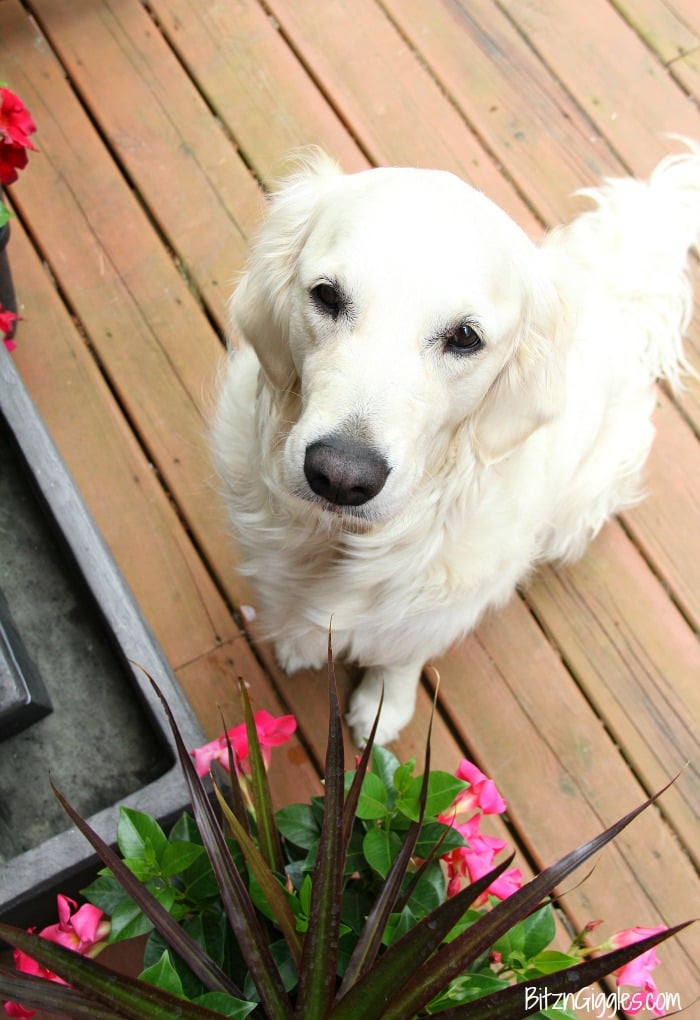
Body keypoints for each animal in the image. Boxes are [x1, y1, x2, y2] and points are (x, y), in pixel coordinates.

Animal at [212, 147, 697, 746]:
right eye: (326, 295)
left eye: (465, 337)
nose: (340, 476)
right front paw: (300, 644)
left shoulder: (434, 611)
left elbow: (399, 657)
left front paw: (384, 708)